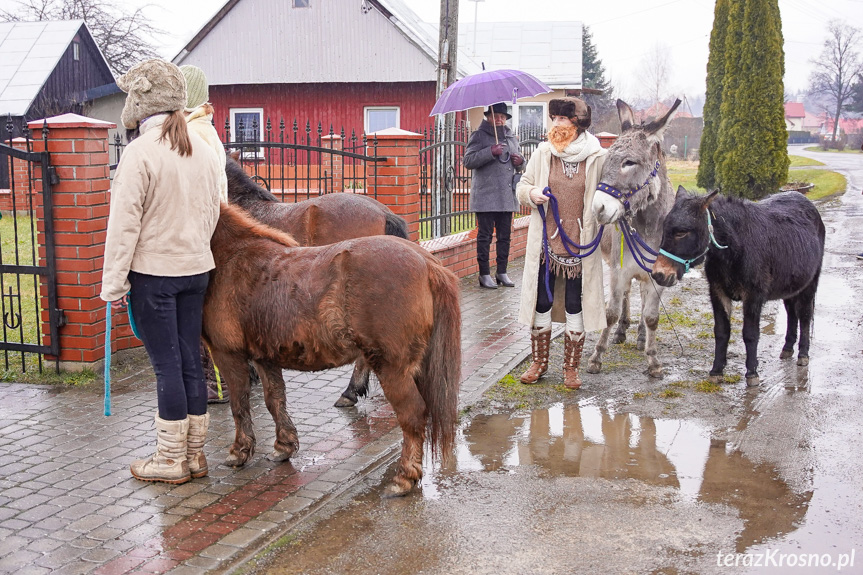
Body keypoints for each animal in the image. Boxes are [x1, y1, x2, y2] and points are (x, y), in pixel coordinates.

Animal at [203, 202, 462, 496]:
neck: (232, 258)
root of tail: (427, 263)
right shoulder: (264, 357)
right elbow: (274, 400)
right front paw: (284, 446)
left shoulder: (228, 355)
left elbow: (239, 404)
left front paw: (239, 451)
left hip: (392, 368)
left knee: (413, 414)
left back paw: (403, 478)